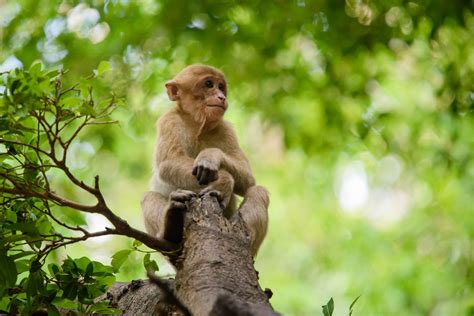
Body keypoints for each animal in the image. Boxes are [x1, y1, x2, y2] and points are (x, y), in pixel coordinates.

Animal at [141, 65, 268, 256]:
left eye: (221, 86)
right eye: (208, 84)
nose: (221, 97)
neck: (197, 126)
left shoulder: (226, 129)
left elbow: (248, 178)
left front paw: (211, 156)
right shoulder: (169, 121)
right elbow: (168, 164)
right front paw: (224, 180)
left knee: (259, 191)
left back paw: (248, 240)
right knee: (149, 197)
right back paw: (169, 230)